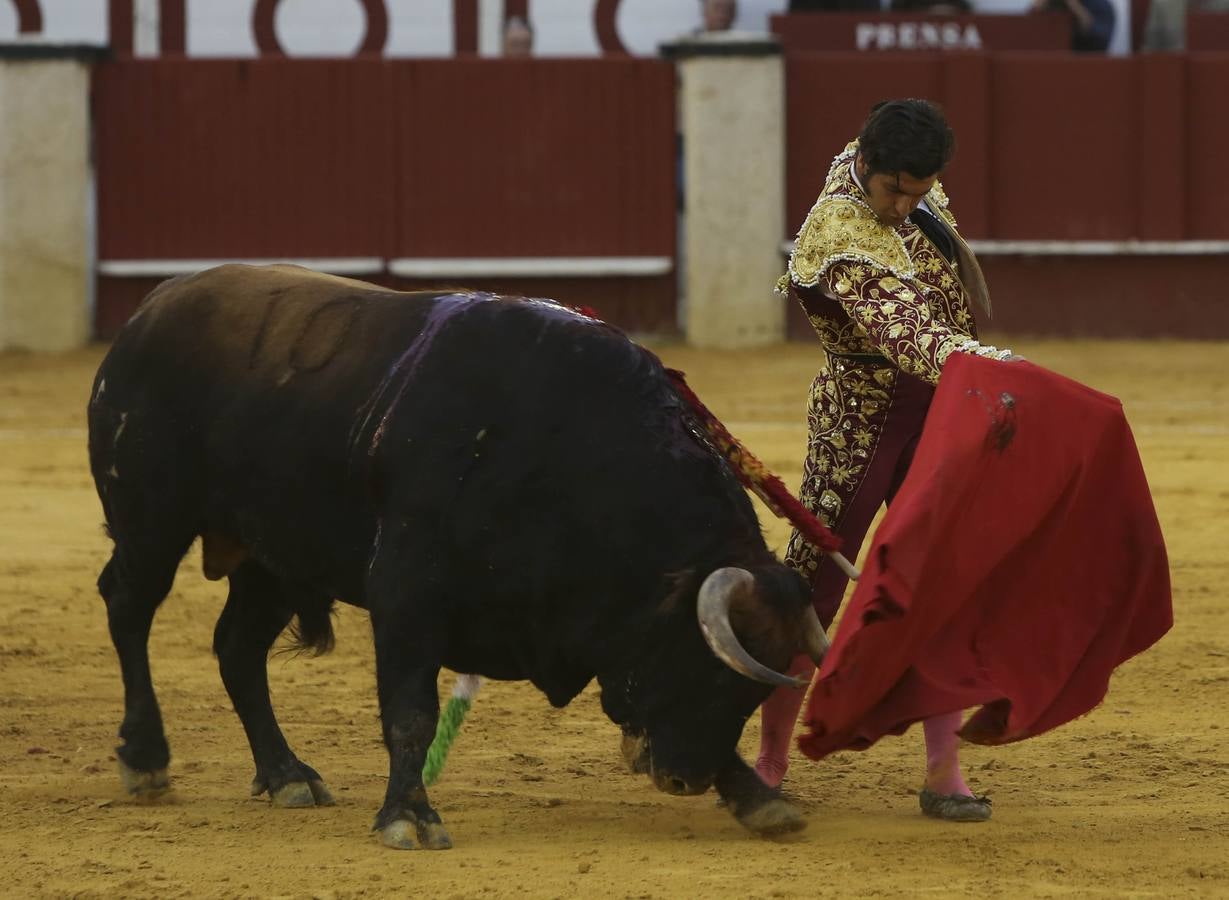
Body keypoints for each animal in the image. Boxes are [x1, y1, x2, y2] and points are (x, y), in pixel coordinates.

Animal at [90, 263, 830, 845]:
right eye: (706, 674)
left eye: (751, 692)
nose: (685, 778)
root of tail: (152, 309)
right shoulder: (405, 593)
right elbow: (410, 711)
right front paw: (408, 818)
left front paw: (758, 799)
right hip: (151, 522)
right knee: (129, 607)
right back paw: (146, 758)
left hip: (272, 556)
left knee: (238, 649)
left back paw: (287, 775)